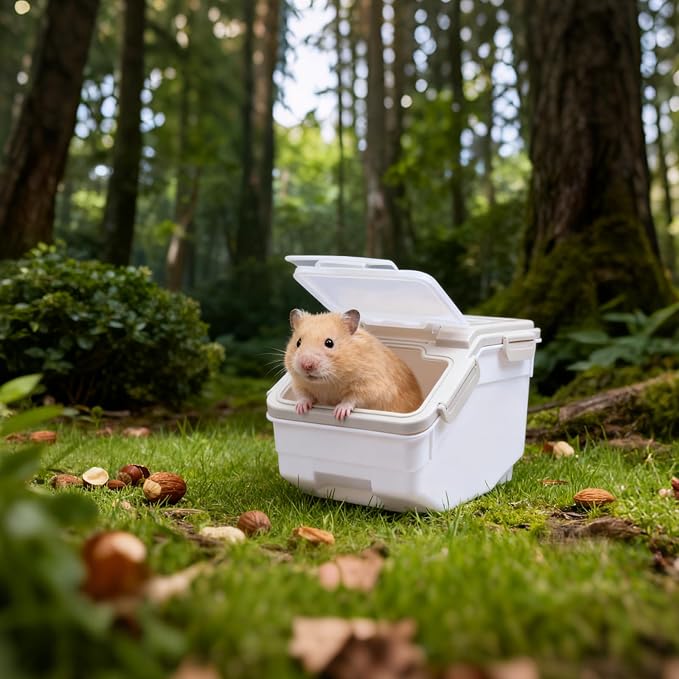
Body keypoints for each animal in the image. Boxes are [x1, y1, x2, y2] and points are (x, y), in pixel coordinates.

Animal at [284, 308, 423, 421]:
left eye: (329, 343)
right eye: (298, 342)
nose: (306, 365)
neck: (327, 383)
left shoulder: (369, 386)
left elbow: (352, 398)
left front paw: (339, 413)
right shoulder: (298, 384)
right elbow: (303, 395)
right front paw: (300, 409)